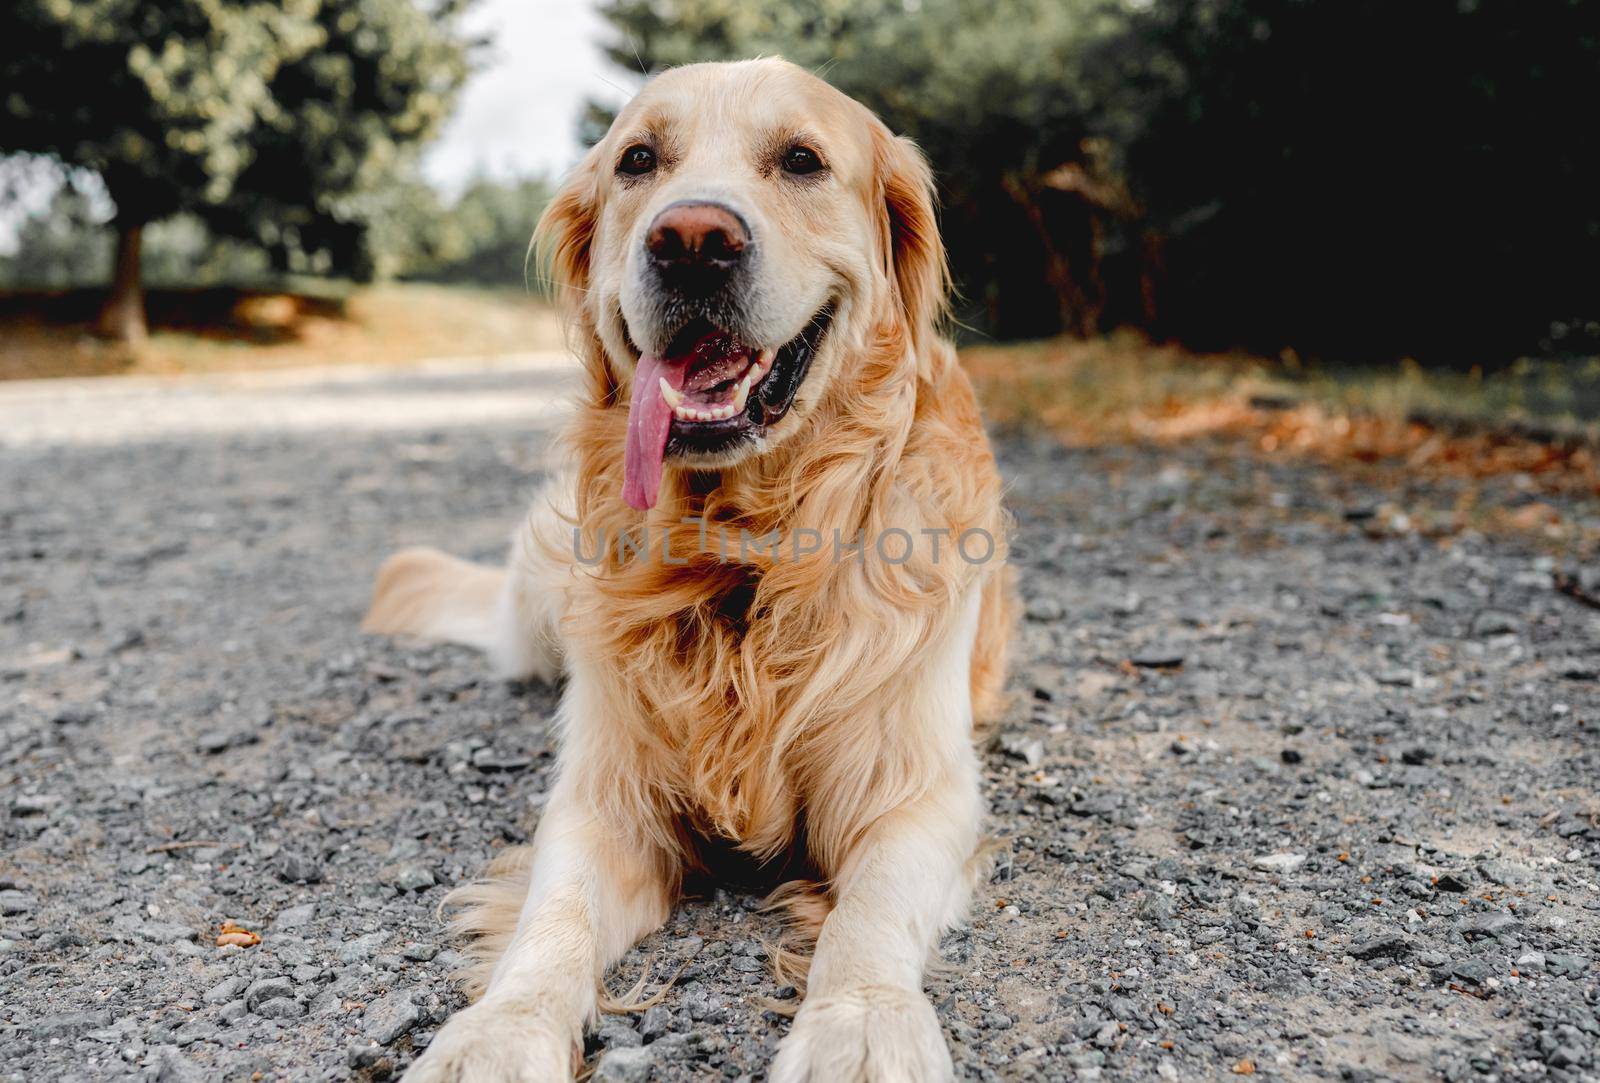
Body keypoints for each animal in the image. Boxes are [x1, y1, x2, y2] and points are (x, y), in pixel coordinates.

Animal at [368, 57, 1004, 1081]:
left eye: (801, 159)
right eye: (637, 160)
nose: (692, 241)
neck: (744, 548)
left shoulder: (917, 791)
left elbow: (868, 916)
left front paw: (863, 1023)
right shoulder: (604, 796)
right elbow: (553, 917)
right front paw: (499, 1031)